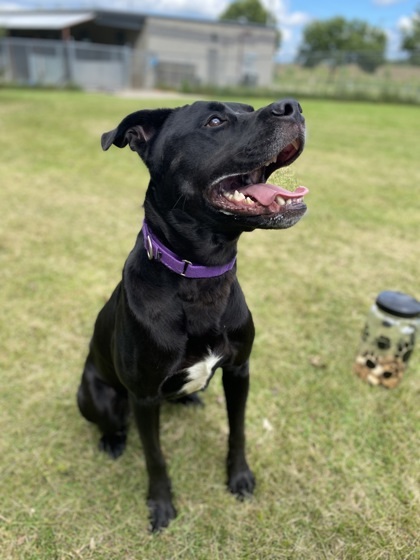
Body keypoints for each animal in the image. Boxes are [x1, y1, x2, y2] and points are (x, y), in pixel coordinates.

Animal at [78, 98, 308, 532]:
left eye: (249, 108)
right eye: (215, 120)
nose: (293, 107)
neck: (201, 277)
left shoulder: (239, 371)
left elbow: (238, 431)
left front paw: (239, 477)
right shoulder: (144, 396)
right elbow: (155, 457)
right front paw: (161, 505)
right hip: (98, 396)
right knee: (111, 422)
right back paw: (112, 441)